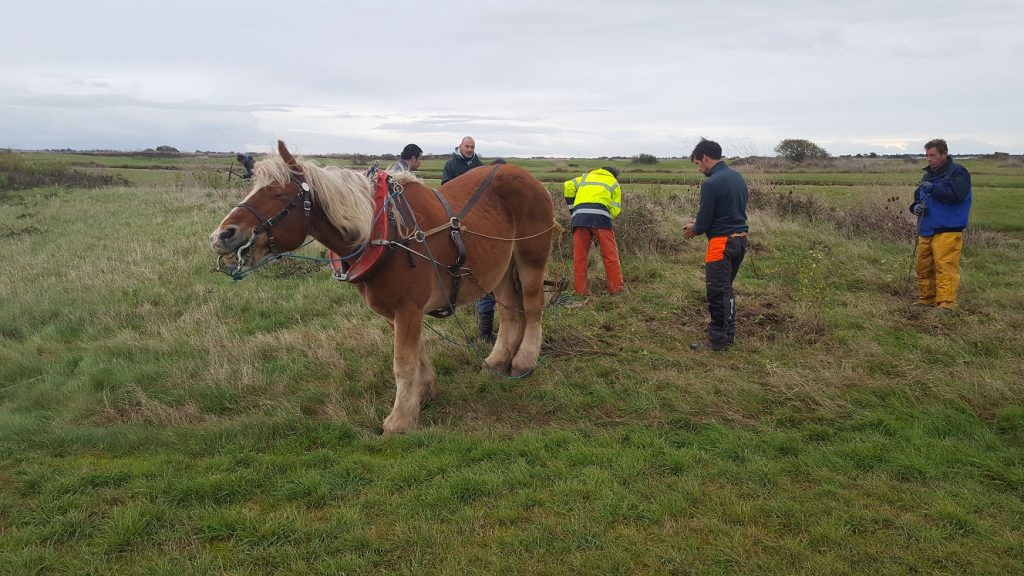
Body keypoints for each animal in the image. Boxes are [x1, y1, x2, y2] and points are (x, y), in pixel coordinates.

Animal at [209, 141, 561, 432]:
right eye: (254, 187)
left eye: (279, 195)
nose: (221, 235)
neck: (384, 231)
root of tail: (529, 179)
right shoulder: (398, 311)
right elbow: (416, 355)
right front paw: (424, 392)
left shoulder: (408, 308)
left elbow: (402, 363)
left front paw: (400, 419)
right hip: (499, 269)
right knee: (510, 310)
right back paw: (498, 360)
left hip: (530, 258)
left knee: (532, 306)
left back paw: (524, 360)